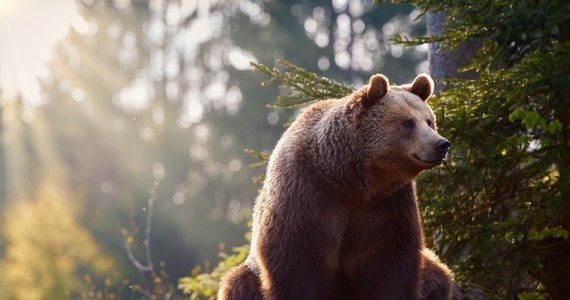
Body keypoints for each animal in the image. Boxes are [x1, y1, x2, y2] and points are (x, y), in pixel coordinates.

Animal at [217, 73, 452, 300]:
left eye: (429, 121)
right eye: (408, 122)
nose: (442, 144)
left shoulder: (387, 203)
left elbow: (391, 261)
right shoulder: (306, 193)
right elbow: (296, 262)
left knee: (437, 277)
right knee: (239, 283)